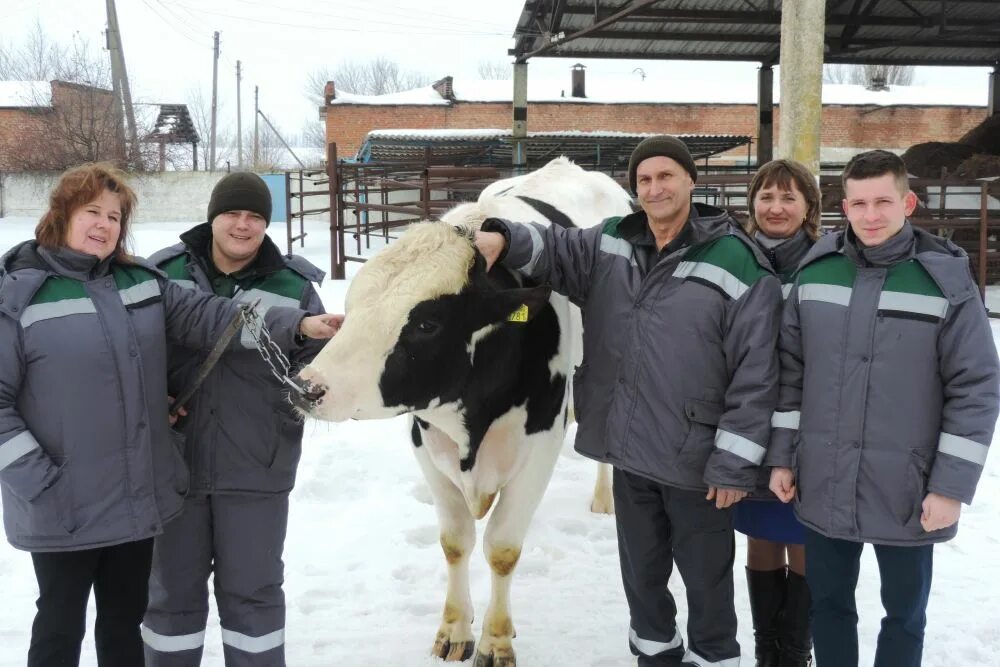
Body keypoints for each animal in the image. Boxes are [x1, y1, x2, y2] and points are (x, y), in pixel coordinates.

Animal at [292, 159, 632, 664]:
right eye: (352, 306)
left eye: (427, 324)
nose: (307, 386)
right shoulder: (428, 447)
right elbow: (456, 542)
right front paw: (454, 629)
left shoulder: (540, 447)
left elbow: (503, 549)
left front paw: (495, 639)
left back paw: (603, 499)